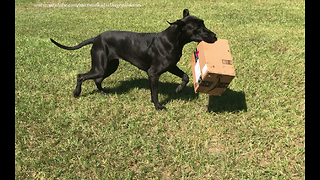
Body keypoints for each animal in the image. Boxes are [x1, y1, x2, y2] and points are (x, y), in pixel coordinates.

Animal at [50, 9, 218, 110]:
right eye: (198, 28)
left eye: (203, 24)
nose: (215, 36)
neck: (173, 39)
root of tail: (96, 38)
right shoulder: (153, 73)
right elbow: (155, 92)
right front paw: (158, 106)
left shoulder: (170, 66)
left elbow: (186, 76)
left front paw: (178, 89)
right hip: (101, 67)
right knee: (81, 76)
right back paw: (76, 93)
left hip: (109, 66)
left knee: (97, 80)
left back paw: (103, 92)